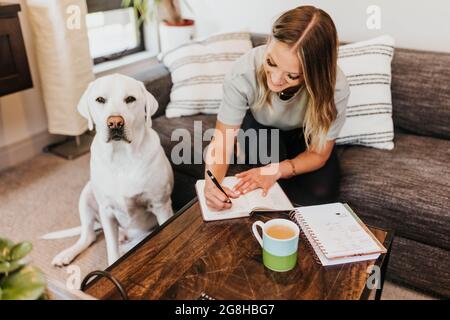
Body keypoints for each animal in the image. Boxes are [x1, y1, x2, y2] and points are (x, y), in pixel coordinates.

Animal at [48, 74, 174, 266]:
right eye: (100, 99)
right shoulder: (106, 211)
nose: (115, 123)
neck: (121, 156)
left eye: (130, 99)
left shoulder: (161, 206)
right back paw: (66, 254)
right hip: (87, 195)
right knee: (89, 236)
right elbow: (112, 250)